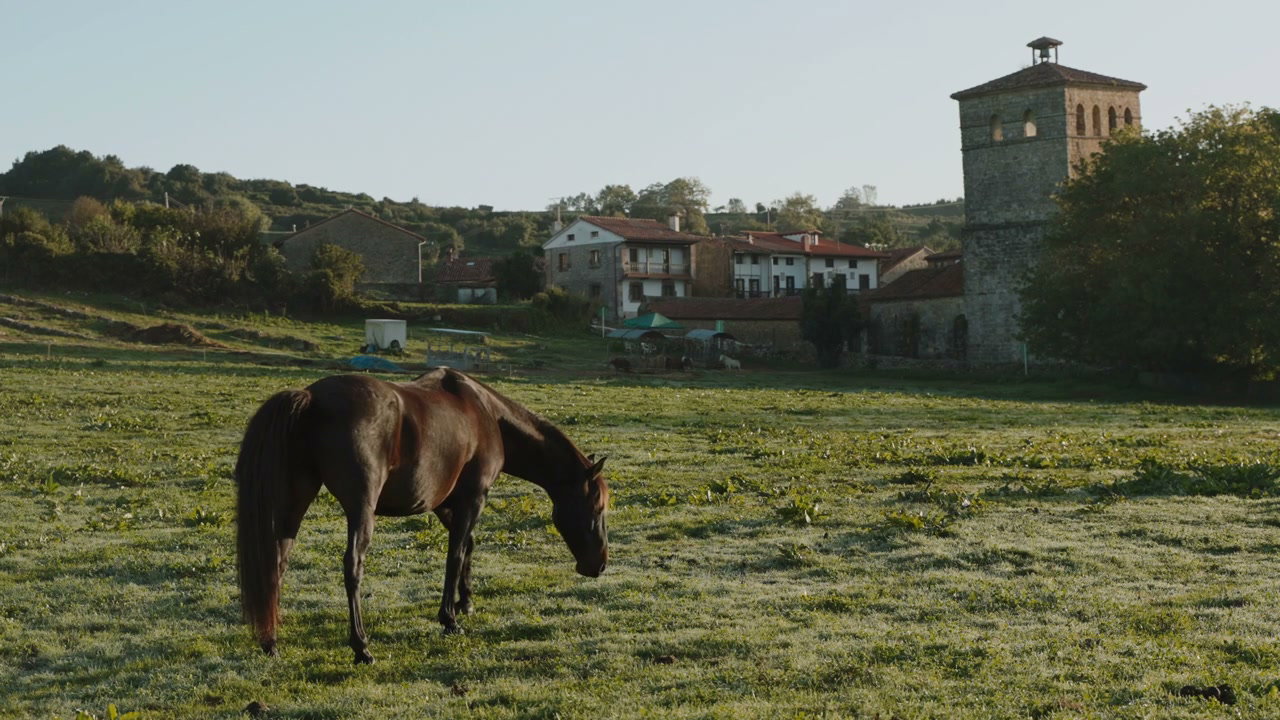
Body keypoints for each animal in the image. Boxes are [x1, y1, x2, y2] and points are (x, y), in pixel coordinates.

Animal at [235, 367, 609, 665]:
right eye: (598, 507)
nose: (600, 564)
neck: (487, 414)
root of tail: (311, 397)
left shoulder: (445, 504)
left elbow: (467, 547)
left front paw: (465, 602)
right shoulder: (473, 497)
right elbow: (455, 554)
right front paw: (449, 619)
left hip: (295, 502)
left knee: (277, 561)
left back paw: (271, 642)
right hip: (360, 509)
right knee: (352, 566)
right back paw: (362, 647)